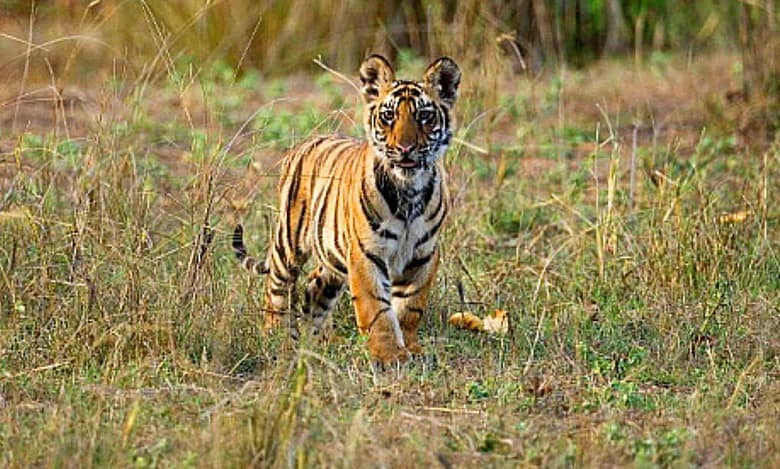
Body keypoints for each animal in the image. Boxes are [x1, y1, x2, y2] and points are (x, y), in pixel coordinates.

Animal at [233, 54, 461, 363]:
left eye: (424, 116)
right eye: (389, 116)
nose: (405, 148)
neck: (409, 189)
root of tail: (306, 141)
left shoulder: (423, 254)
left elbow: (410, 307)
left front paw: (410, 349)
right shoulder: (366, 254)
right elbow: (376, 309)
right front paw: (389, 356)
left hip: (332, 257)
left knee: (315, 287)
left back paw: (315, 339)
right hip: (288, 243)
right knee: (277, 289)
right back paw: (277, 338)